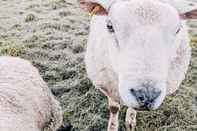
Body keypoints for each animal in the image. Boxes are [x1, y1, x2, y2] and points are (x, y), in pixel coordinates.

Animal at [79, 0, 195, 130]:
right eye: (109, 26)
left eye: (178, 30)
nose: (147, 96)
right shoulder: (108, 87)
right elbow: (114, 108)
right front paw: (112, 126)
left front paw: (130, 120)